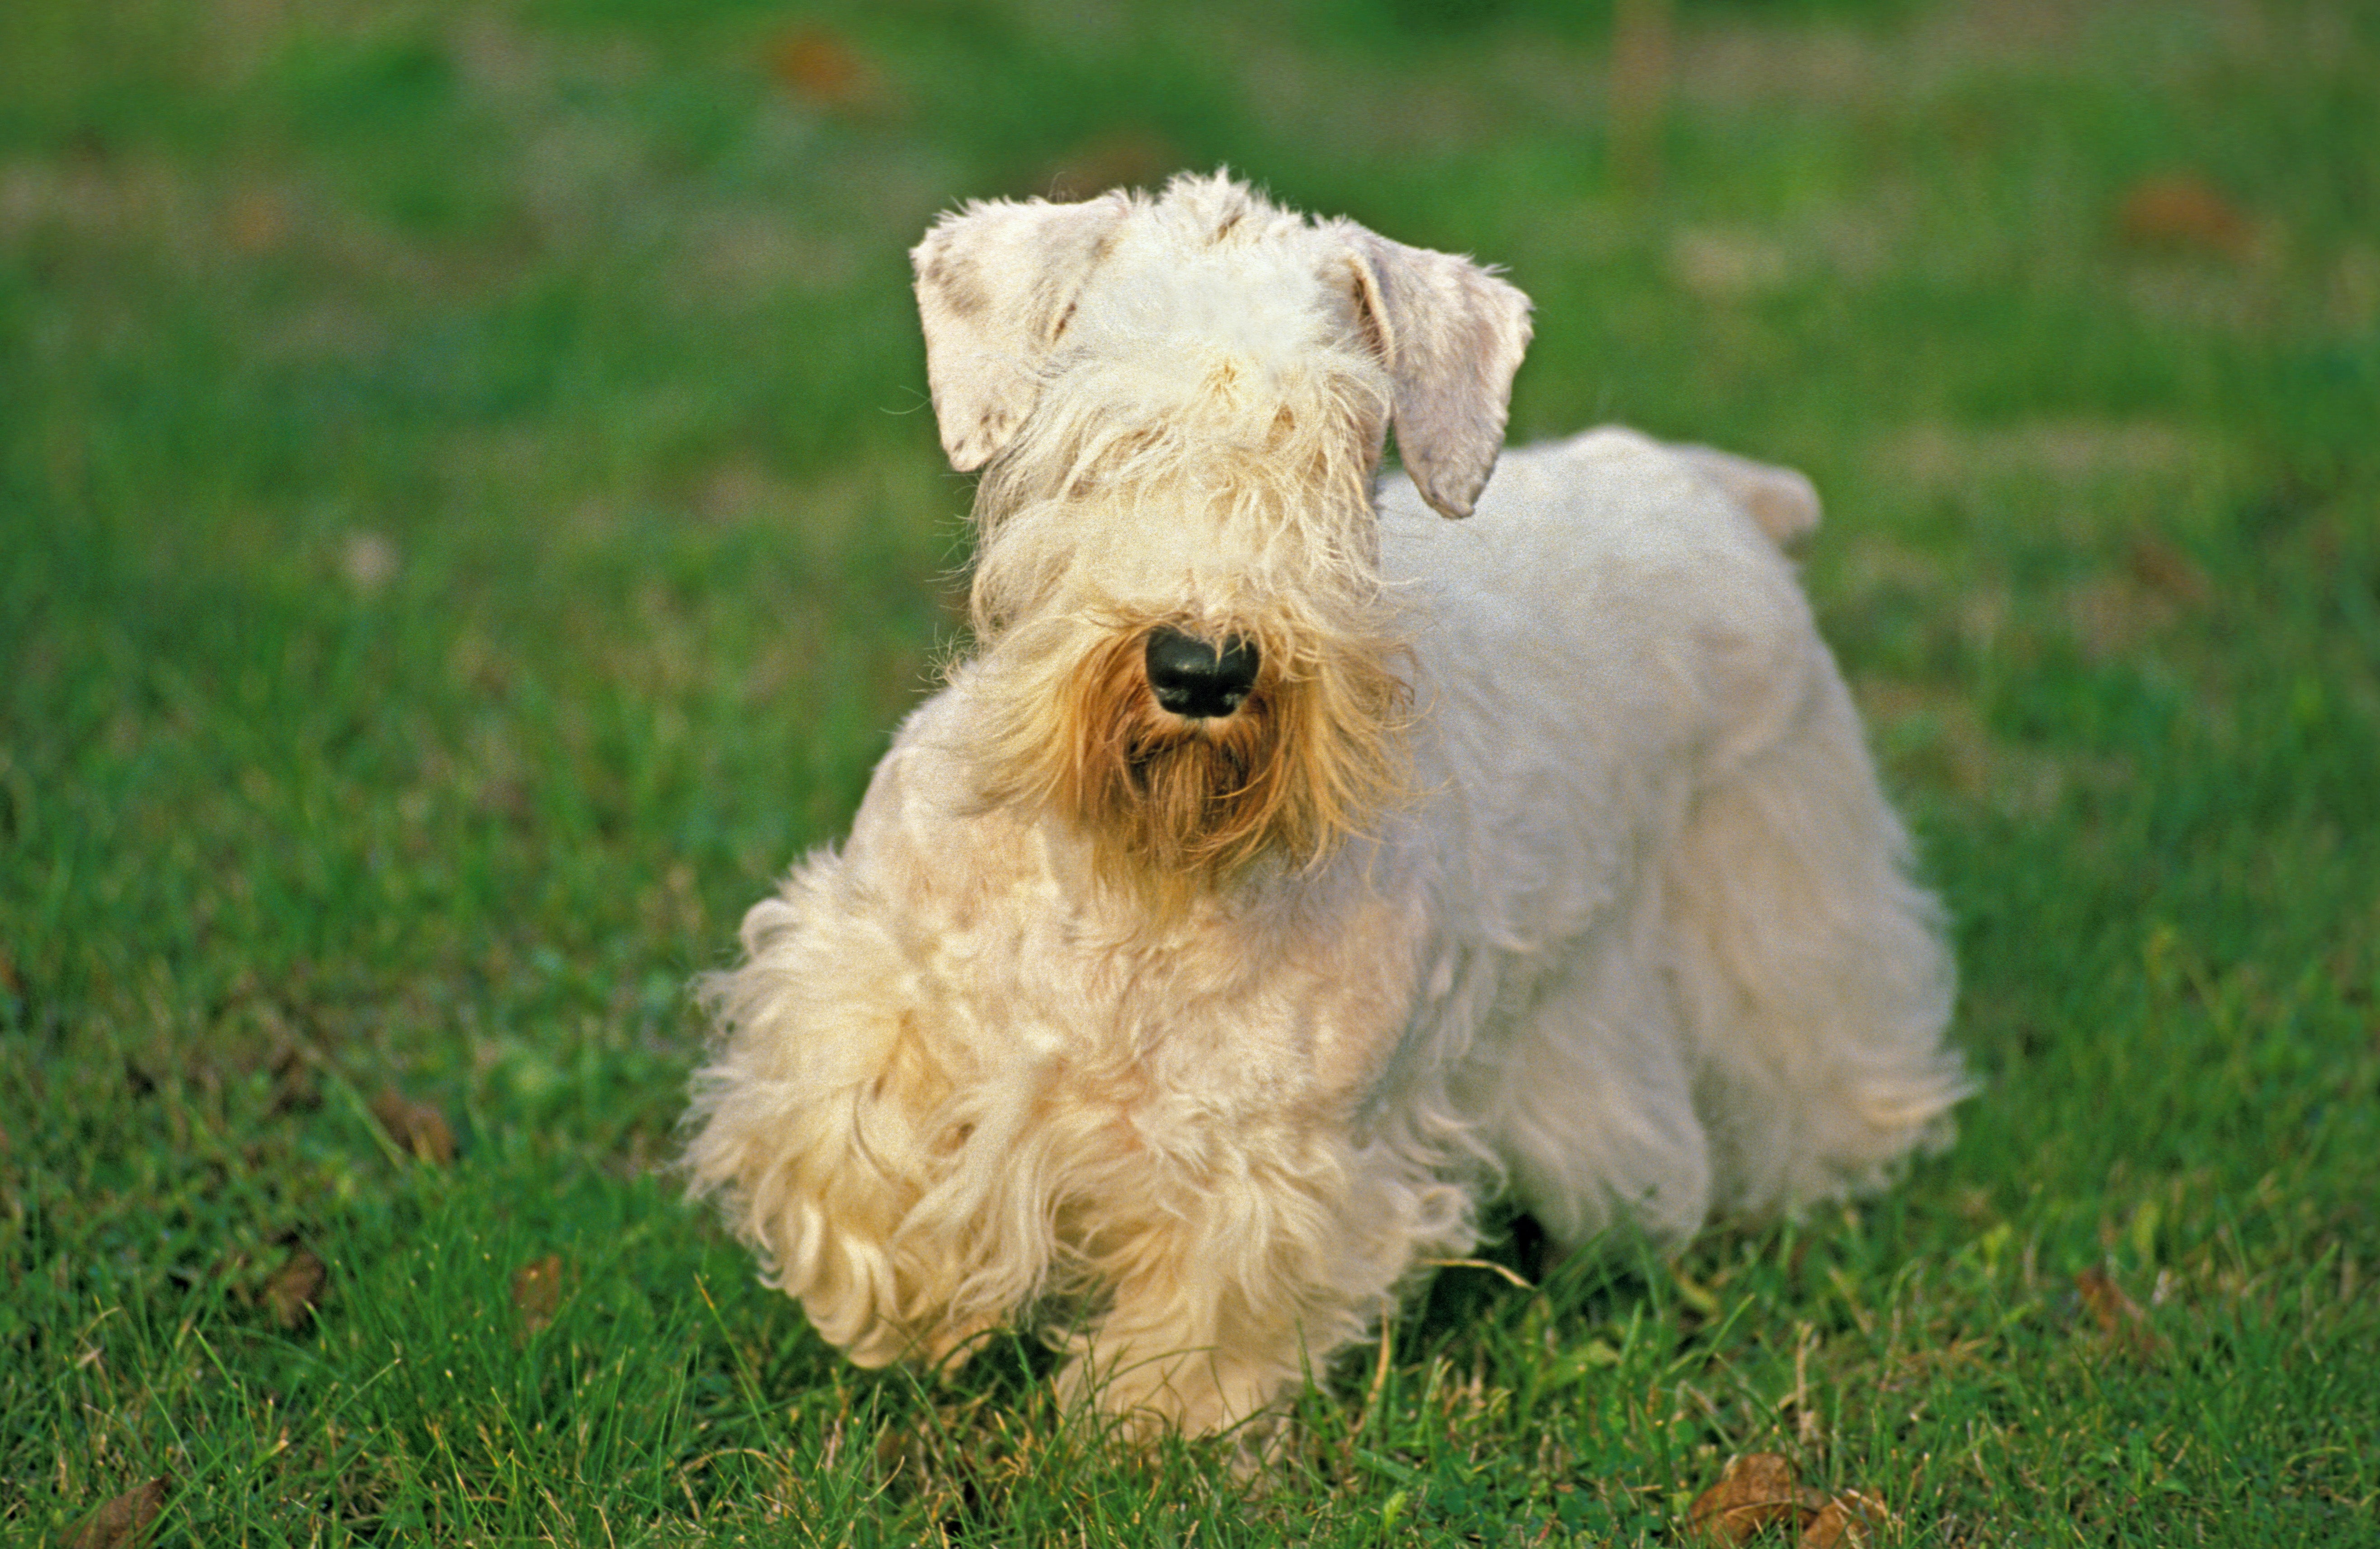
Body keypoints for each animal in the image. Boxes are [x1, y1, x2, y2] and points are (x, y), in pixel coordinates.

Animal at [681, 172, 1961, 1446]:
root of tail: (1717, 490)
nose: (1202, 668)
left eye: (1333, 447)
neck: (1133, 873)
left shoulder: (1279, 1149)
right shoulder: (870, 983)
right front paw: (901, 1305)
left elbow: (1212, 1299)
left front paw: (1146, 1428)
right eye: (1105, 428)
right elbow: (852, 1144)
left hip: (1782, 902)